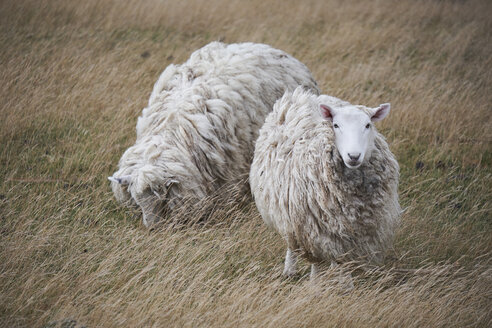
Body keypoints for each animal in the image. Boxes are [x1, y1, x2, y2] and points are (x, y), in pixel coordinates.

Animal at [250, 86, 400, 280]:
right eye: (336, 125)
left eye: (368, 125)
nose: (353, 156)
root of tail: (302, 95)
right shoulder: (311, 229)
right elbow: (316, 263)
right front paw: (315, 283)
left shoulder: (354, 237)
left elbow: (345, 265)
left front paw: (344, 284)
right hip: (287, 213)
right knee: (291, 242)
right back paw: (290, 270)